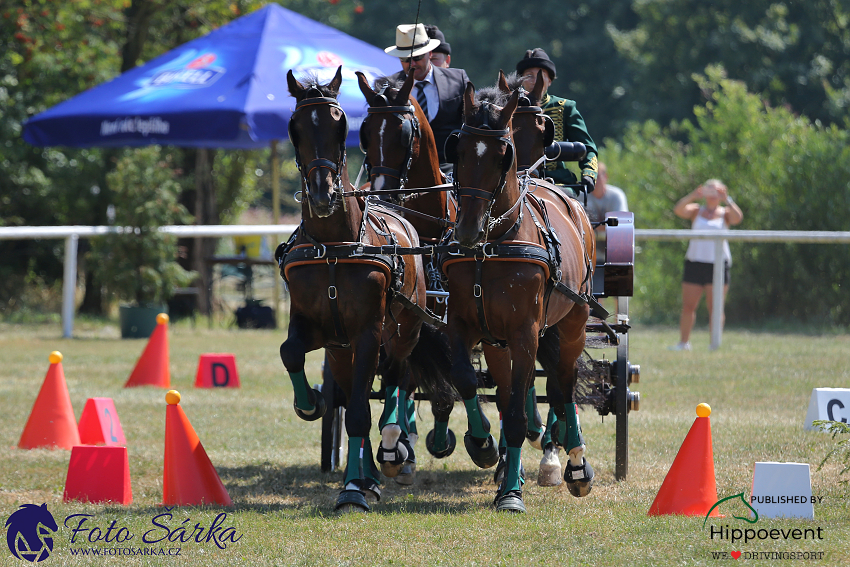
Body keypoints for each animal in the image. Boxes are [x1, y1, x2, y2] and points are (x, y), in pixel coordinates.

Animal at [276, 67, 450, 516]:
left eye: (340, 125)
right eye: (294, 127)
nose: (323, 193)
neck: (335, 246)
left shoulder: (370, 332)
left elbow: (359, 410)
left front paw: (353, 488)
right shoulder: (316, 328)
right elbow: (292, 353)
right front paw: (310, 403)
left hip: (403, 331)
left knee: (396, 379)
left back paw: (390, 450)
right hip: (342, 349)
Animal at [438, 81, 596, 516]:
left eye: (500, 154)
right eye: (458, 148)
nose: (467, 230)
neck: (491, 246)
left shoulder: (526, 332)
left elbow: (516, 416)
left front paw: (511, 493)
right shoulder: (464, 326)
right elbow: (469, 382)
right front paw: (483, 445)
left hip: (573, 322)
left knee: (563, 384)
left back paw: (574, 462)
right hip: (501, 341)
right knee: (516, 389)